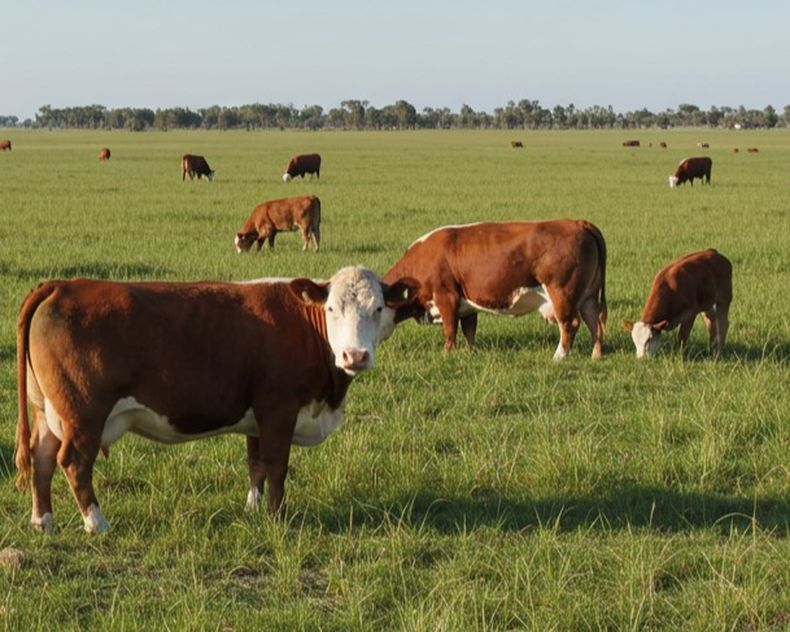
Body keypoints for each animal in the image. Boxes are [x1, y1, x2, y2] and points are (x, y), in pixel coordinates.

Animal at [14, 267, 419, 533]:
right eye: (332, 309)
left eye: (378, 308)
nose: (355, 355)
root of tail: (62, 285)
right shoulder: (279, 408)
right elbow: (276, 465)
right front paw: (277, 519)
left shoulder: (258, 415)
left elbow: (256, 465)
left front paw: (254, 510)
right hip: (83, 413)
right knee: (74, 462)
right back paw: (97, 523)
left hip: (46, 410)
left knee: (42, 458)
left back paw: (43, 521)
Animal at [382, 220, 607, 360]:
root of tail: (576, 222)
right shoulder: (466, 304)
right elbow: (469, 330)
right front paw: (470, 353)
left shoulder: (446, 297)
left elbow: (450, 330)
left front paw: (446, 354)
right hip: (587, 296)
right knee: (594, 321)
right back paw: (596, 356)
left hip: (562, 292)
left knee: (571, 323)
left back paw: (558, 357)